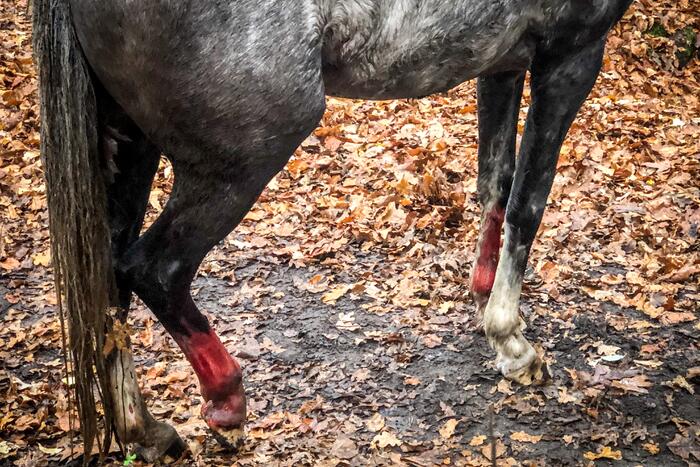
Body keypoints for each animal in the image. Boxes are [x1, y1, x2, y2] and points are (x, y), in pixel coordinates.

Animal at [32, 0, 634, 461]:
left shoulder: (503, 60)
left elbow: (497, 180)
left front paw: (485, 292)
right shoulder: (571, 55)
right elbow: (528, 203)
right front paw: (513, 344)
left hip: (129, 139)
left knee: (106, 281)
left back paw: (146, 431)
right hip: (245, 157)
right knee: (153, 270)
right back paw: (227, 401)